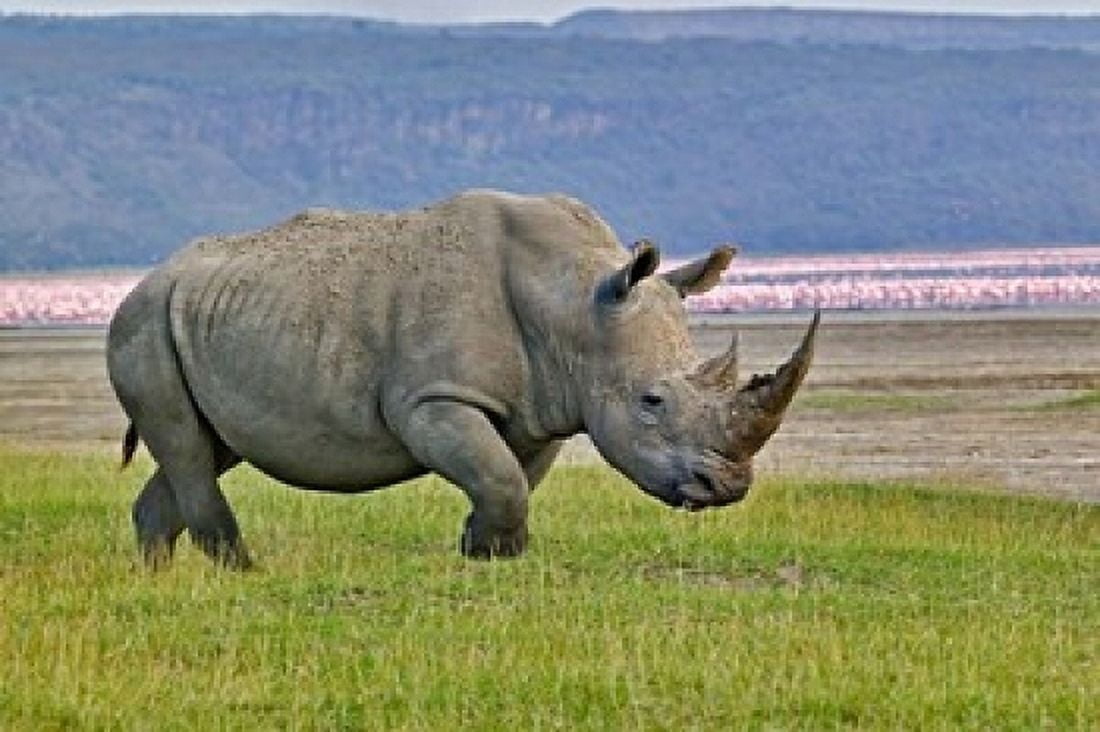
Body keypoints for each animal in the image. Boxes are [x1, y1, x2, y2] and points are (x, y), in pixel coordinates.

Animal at [107, 190, 818, 568]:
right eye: (652, 400)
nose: (727, 487)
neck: (575, 304)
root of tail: (147, 279)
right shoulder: (432, 399)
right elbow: (499, 476)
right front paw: (490, 551)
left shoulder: (541, 408)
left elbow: (509, 477)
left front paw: (483, 553)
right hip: (142, 322)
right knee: (187, 446)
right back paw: (246, 573)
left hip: (201, 319)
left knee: (208, 448)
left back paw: (157, 576)